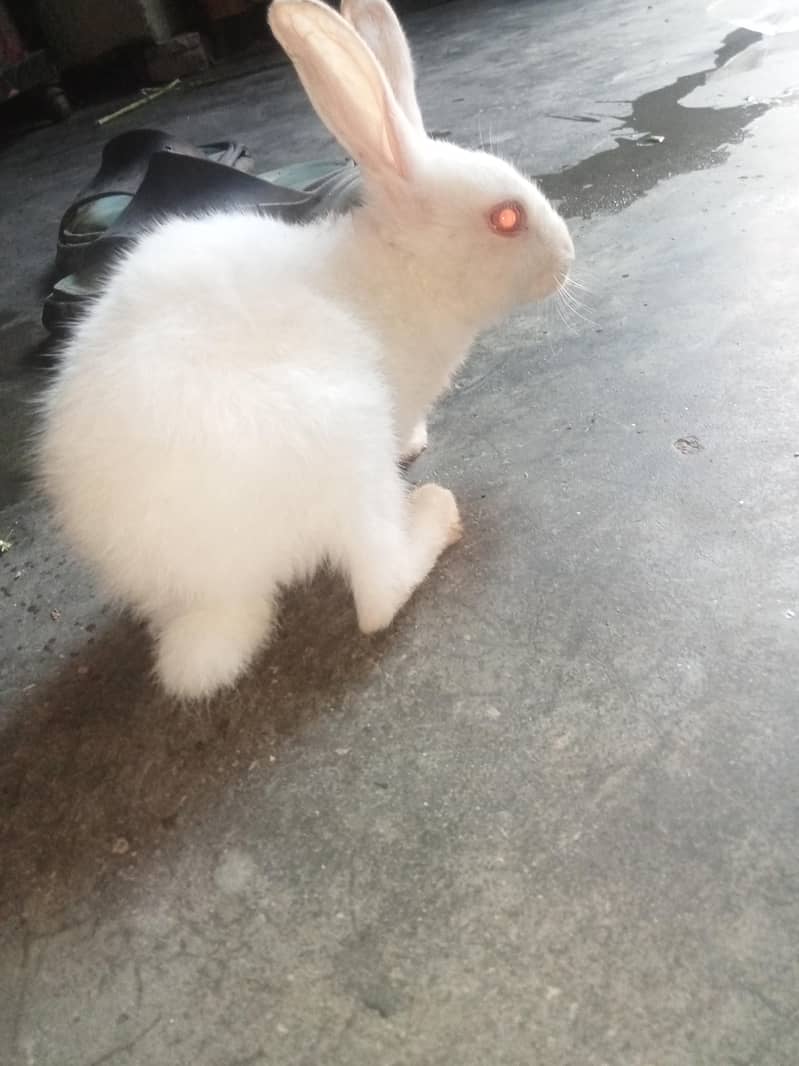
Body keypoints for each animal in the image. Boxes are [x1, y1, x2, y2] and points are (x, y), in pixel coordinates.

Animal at [38, 0, 574, 700]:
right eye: (506, 219)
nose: (568, 258)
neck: (400, 268)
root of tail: (208, 595)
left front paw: (413, 440)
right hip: (342, 436)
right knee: (377, 592)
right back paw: (435, 514)